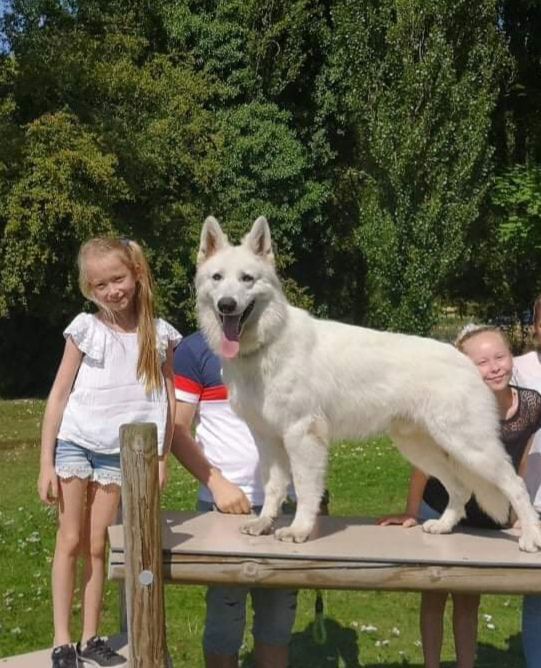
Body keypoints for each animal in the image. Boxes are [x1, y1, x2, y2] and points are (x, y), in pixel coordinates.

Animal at [195, 217, 540, 552]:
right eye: (217, 277)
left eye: (247, 279)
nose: (227, 305)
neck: (268, 342)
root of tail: (465, 360)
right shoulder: (267, 438)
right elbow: (273, 486)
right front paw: (264, 523)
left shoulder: (302, 435)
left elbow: (305, 489)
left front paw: (300, 530)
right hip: (420, 448)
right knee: (461, 487)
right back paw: (443, 526)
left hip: (470, 447)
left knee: (514, 485)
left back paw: (530, 538)